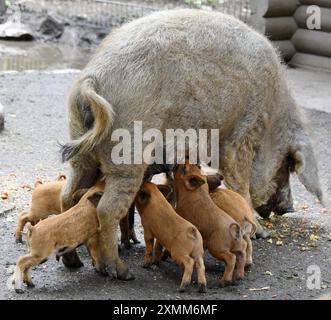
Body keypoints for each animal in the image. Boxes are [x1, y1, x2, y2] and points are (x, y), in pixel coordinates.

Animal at [59, 9, 326, 276]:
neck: (272, 117)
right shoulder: (240, 137)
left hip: (81, 152)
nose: (289, 208)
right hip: (127, 154)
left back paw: (75, 262)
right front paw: (260, 233)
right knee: (107, 208)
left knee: (68, 195)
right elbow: (240, 184)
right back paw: (120, 271)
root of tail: (92, 78)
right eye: (287, 164)